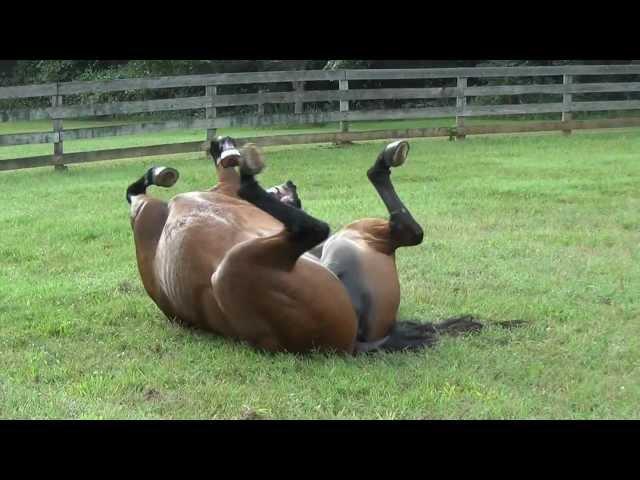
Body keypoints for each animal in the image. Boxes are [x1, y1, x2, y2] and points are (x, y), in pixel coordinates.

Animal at [127, 137, 480, 354]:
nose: (291, 184)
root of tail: (358, 342)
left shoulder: (146, 214)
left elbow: (135, 193)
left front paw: (221, 152)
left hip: (232, 269)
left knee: (314, 227)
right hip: (352, 239)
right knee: (405, 230)